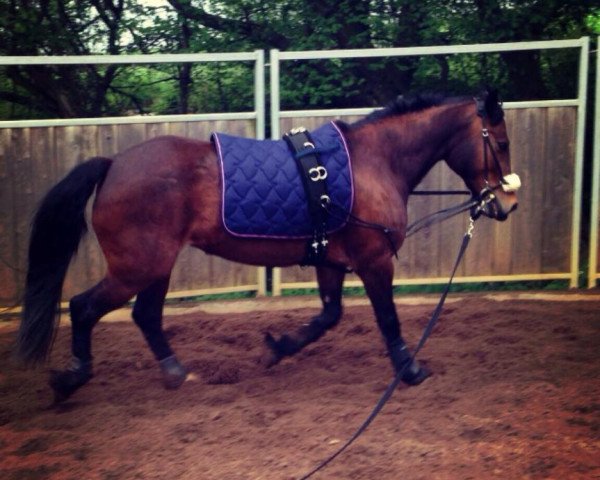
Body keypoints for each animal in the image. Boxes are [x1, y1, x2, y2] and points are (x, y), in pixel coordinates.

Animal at [16, 88, 516, 404]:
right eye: (501, 142)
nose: (507, 203)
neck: (374, 164)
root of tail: (114, 164)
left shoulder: (330, 259)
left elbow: (328, 317)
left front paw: (277, 348)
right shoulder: (373, 261)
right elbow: (387, 319)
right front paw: (410, 370)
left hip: (156, 266)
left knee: (145, 316)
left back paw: (176, 372)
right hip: (137, 267)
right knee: (84, 307)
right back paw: (71, 378)